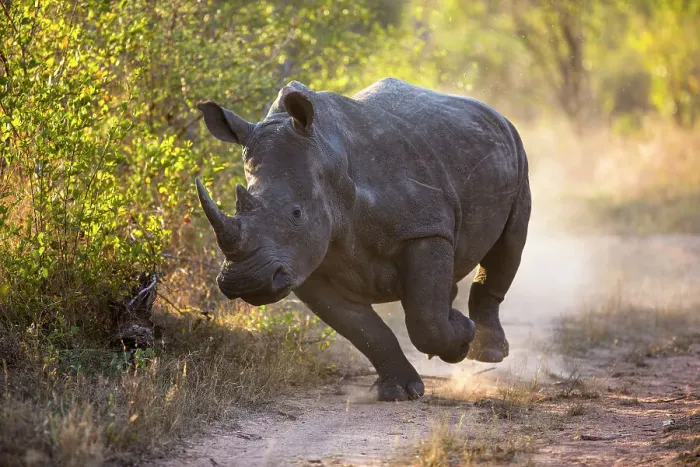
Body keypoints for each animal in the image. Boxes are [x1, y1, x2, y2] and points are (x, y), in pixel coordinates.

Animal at [195, 78, 531, 401]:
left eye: (297, 213)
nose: (246, 281)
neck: (326, 157)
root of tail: (493, 112)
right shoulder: (306, 265)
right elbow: (365, 332)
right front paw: (400, 391)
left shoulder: (425, 229)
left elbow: (426, 322)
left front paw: (461, 337)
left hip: (517, 151)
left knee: (509, 245)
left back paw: (488, 352)